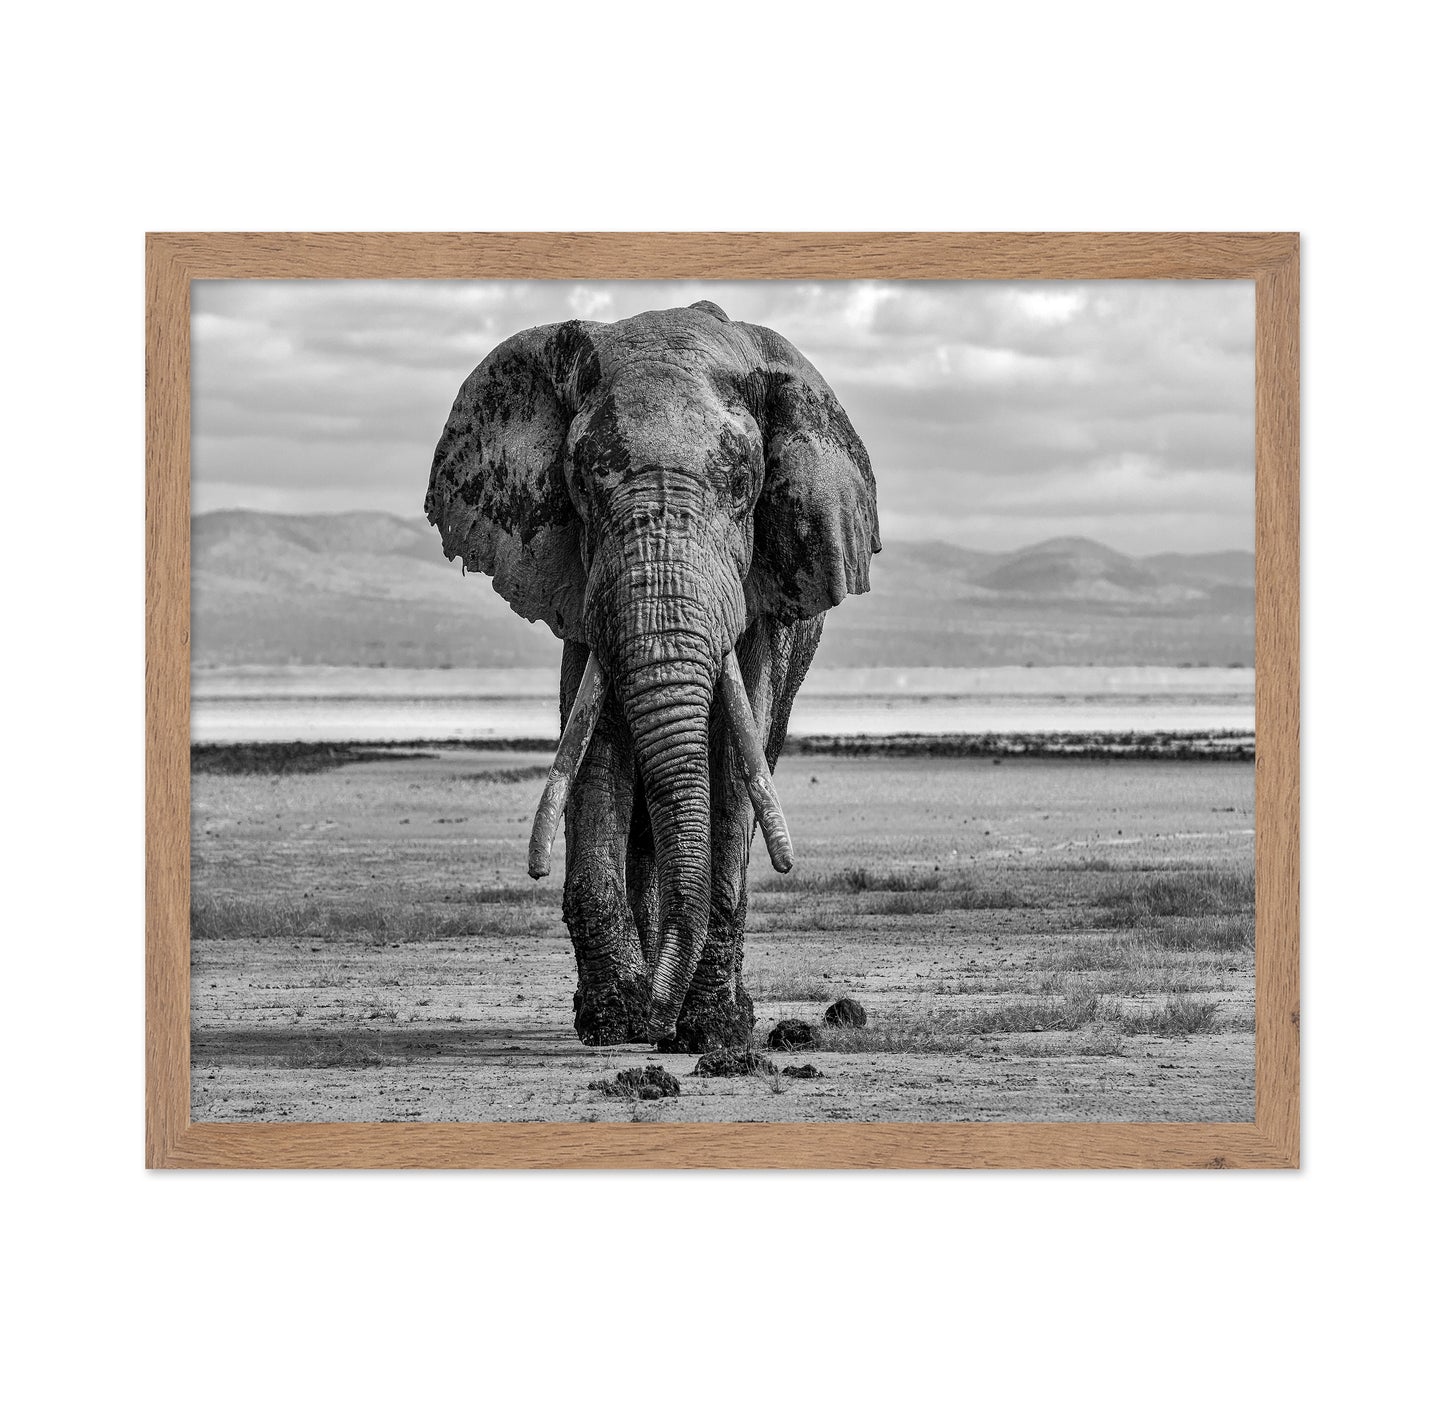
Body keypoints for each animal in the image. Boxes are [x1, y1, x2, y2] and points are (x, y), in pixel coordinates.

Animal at [424, 300, 879, 1051]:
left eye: (743, 485)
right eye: (581, 481)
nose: (654, 1019)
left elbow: (733, 758)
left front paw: (711, 1032)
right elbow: (596, 748)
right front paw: (613, 1021)